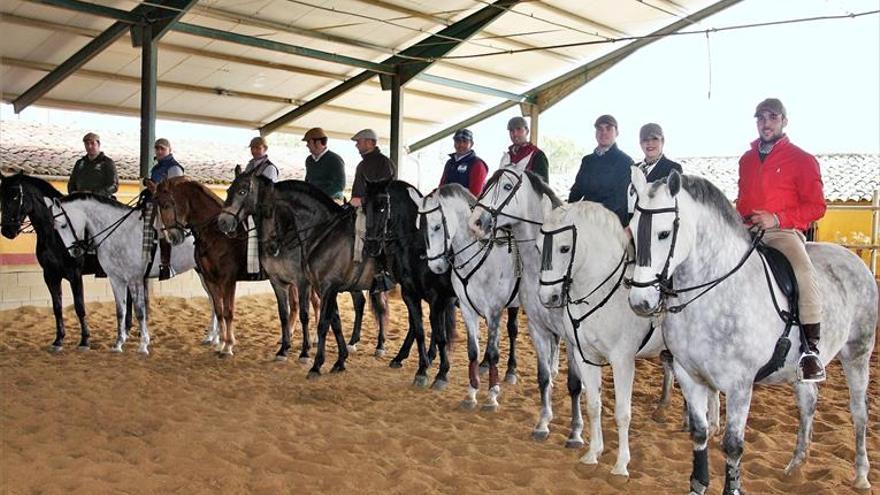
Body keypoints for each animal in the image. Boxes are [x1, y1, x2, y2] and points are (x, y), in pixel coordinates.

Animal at [364, 180, 460, 390]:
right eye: (364, 206)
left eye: (382, 207)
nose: (370, 246)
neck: (417, 247)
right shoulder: (410, 294)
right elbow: (420, 329)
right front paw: (422, 370)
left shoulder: (437, 297)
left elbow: (439, 334)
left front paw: (442, 374)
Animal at [410, 186, 524, 410]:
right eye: (419, 227)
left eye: (437, 226)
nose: (436, 267)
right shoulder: (467, 309)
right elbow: (473, 350)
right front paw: (471, 394)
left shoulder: (494, 311)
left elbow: (493, 352)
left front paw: (491, 396)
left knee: (513, 331)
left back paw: (513, 370)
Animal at [532, 202, 676, 476]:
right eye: (537, 247)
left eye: (564, 248)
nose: (547, 297)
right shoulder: (585, 358)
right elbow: (593, 405)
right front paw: (592, 454)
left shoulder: (622, 362)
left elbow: (622, 413)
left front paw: (621, 465)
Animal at [628, 170, 876, 492]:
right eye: (633, 230)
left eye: (663, 233)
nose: (640, 302)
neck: (716, 290)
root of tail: (854, 259)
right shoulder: (688, 375)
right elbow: (699, 433)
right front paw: (698, 484)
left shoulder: (739, 384)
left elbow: (733, 445)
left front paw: (732, 487)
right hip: (800, 371)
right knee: (808, 403)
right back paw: (796, 465)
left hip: (858, 353)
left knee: (859, 411)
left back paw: (861, 475)